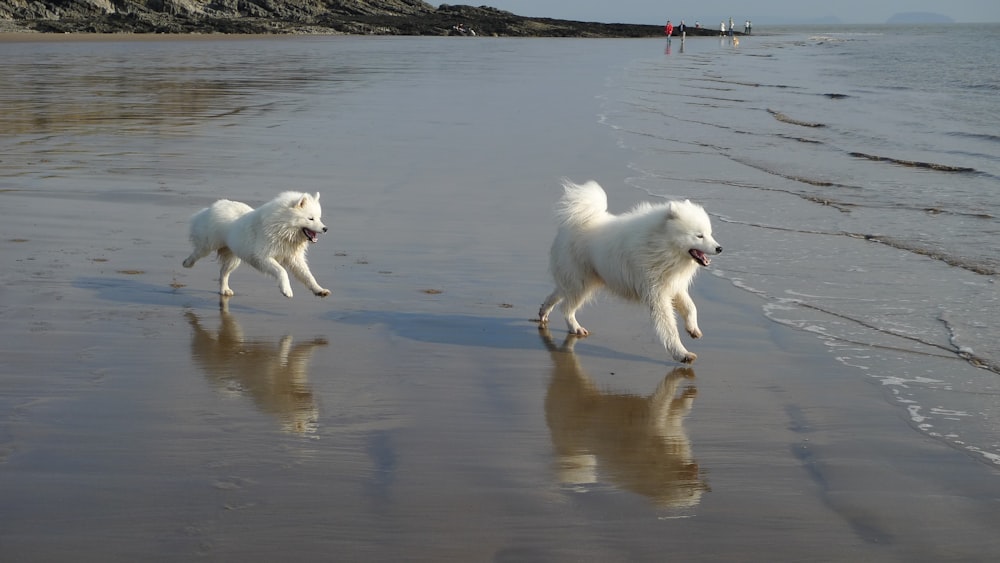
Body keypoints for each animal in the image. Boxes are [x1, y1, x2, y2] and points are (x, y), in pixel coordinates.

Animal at [182, 192, 330, 300]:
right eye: (310, 218)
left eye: (319, 218)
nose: (325, 229)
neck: (282, 226)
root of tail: (211, 207)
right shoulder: (263, 257)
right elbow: (282, 271)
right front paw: (286, 290)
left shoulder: (294, 258)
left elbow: (308, 276)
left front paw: (319, 290)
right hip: (207, 246)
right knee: (197, 253)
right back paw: (187, 263)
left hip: (233, 258)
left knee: (223, 273)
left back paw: (224, 290)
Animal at [536, 181, 724, 366]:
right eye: (699, 236)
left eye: (709, 234)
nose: (719, 248)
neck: (662, 244)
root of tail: (572, 224)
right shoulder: (657, 293)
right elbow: (670, 328)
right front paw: (681, 353)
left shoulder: (672, 285)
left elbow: (691, 307)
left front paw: (693, 329)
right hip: (581, 283)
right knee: (566, 307)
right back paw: (575, 327)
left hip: (578, 280)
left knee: (557, 294)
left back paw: (543, 311)